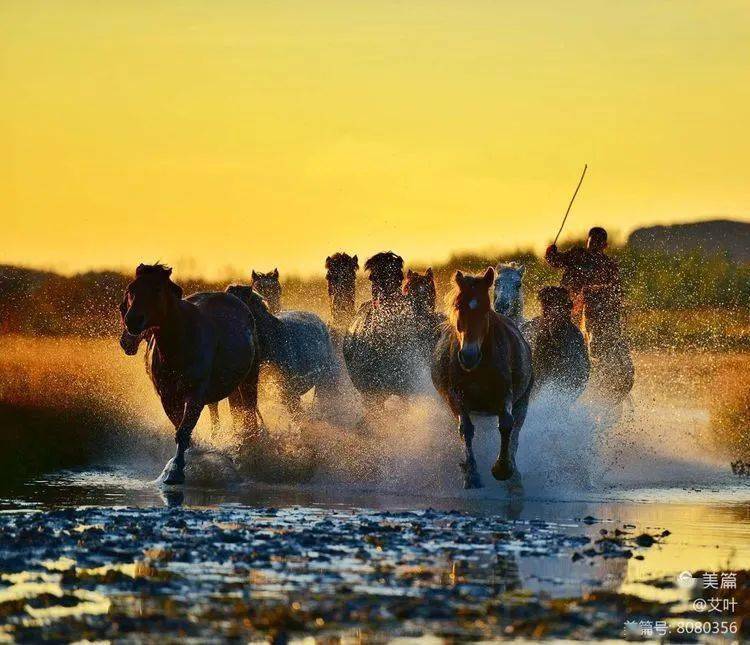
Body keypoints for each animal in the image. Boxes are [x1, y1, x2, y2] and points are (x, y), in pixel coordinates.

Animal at [117, 262, 258, 484]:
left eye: (157, 289)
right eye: (131, 289)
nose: (133, 320)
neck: (179, 345)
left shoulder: (195, 395)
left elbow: (183, 432)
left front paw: (175, 472)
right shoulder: (168, 397)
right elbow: (181, 430)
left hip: (248, 382)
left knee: (249, 413)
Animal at [434, 266, 536, 488]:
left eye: (485, 309)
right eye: (458, 306)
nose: (468, 355)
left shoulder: (505, 394)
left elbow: (506, 424)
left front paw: (503, 468)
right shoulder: (456, 396)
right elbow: (466, 429)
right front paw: (471, 474)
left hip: (522, 401)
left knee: (516, 432)